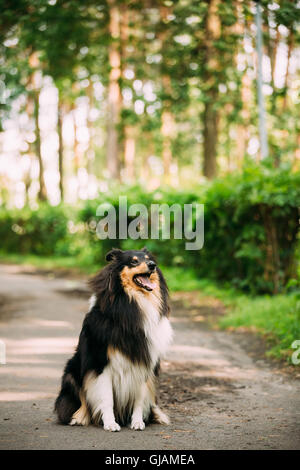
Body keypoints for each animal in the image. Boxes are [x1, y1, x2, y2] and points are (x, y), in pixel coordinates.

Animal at [54, 248, 172, 432]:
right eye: (134, 261)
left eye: (148, 259)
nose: (153, 265)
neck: (133, 305)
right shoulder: (101, 365)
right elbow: (106, 398)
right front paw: (110, 423)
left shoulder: (144, 363)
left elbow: (139, 399)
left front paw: (137, 422)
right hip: (72, 372)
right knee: (79, 400)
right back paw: (79, 418)